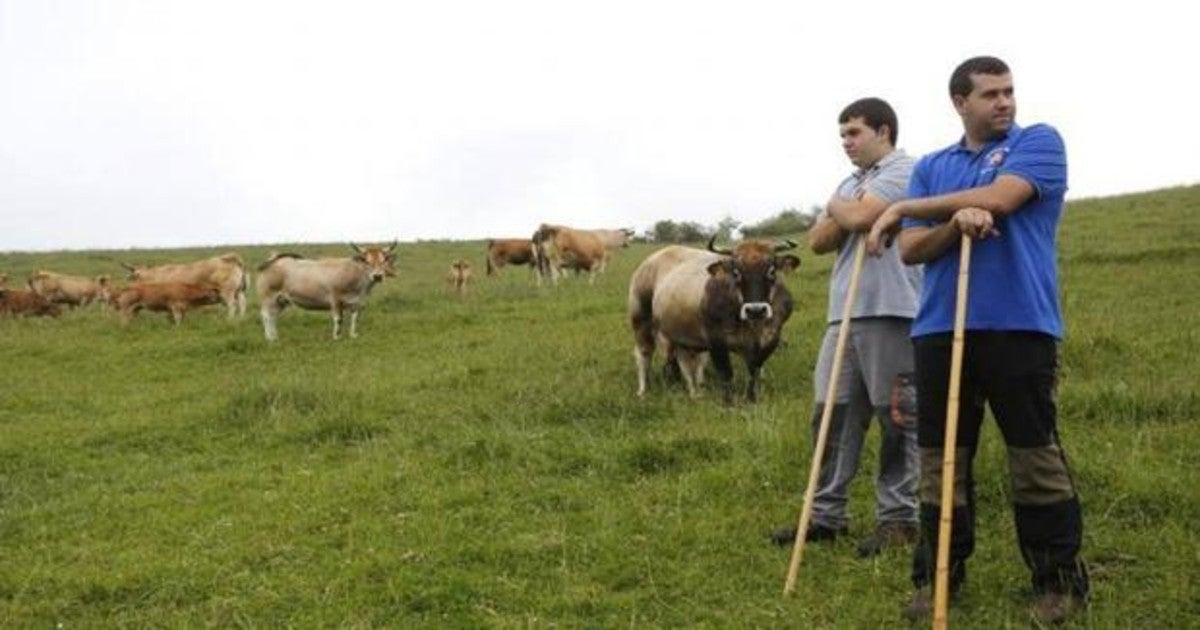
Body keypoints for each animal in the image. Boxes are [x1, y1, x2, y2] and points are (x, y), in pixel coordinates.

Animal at [256, 241, 398, 340]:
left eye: (384, 260)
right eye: (367, 261)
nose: (377, 276)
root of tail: (274, 260)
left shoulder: (358, 302)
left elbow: (355, 318)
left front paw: (353, 335)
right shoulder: (335, 299)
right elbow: (338, 319)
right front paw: (336, 337)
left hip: (281, 300)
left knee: (273, 317)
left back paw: (275, 337)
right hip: (268, 297)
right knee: (266, 316)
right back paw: (269, 338)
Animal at [624, 235, 801, 403]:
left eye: (771, 271)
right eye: (736, 273)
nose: (755, 310)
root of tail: (650, 261)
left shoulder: (770, 340)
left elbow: (754, 372)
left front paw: (752, 399)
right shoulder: (716, 342)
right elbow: (726, 375)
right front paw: (729, 403)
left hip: (680, 335)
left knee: (684, 361)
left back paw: (696, 393)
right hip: (641, 320)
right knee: (644, 354)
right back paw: (643, 391)